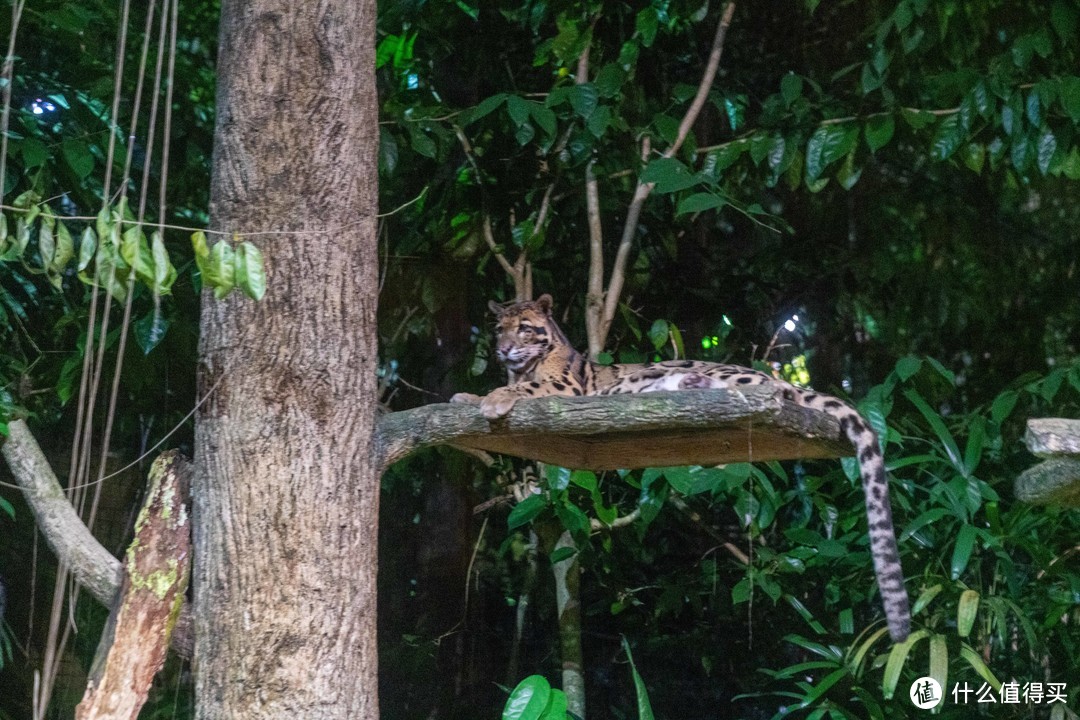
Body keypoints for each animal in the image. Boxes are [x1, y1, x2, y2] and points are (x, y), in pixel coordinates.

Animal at [453, 293, 911, 643]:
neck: (524, 365)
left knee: (766, 391)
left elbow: (524, 388)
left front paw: (491, 397)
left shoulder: (566, 388)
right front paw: (470, 399)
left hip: (707, 371)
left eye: (524, 328)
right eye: (499, 329)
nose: (503, 349)